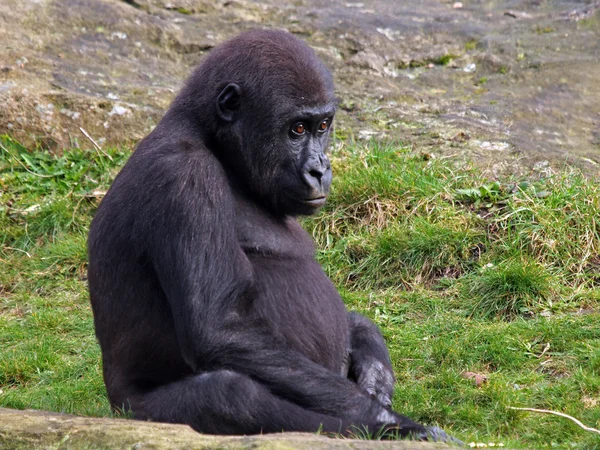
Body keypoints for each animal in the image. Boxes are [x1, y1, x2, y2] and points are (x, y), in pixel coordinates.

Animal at [86, 29, 458, 442]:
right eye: (297, 129)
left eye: (322, 126)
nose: (319, 169)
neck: (210, 139)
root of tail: (114, 408)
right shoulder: (183, 175)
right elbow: (218, 329)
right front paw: (388, 419)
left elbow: (353, 322)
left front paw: (374, 373)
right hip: (136, 411)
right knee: (229, 393)